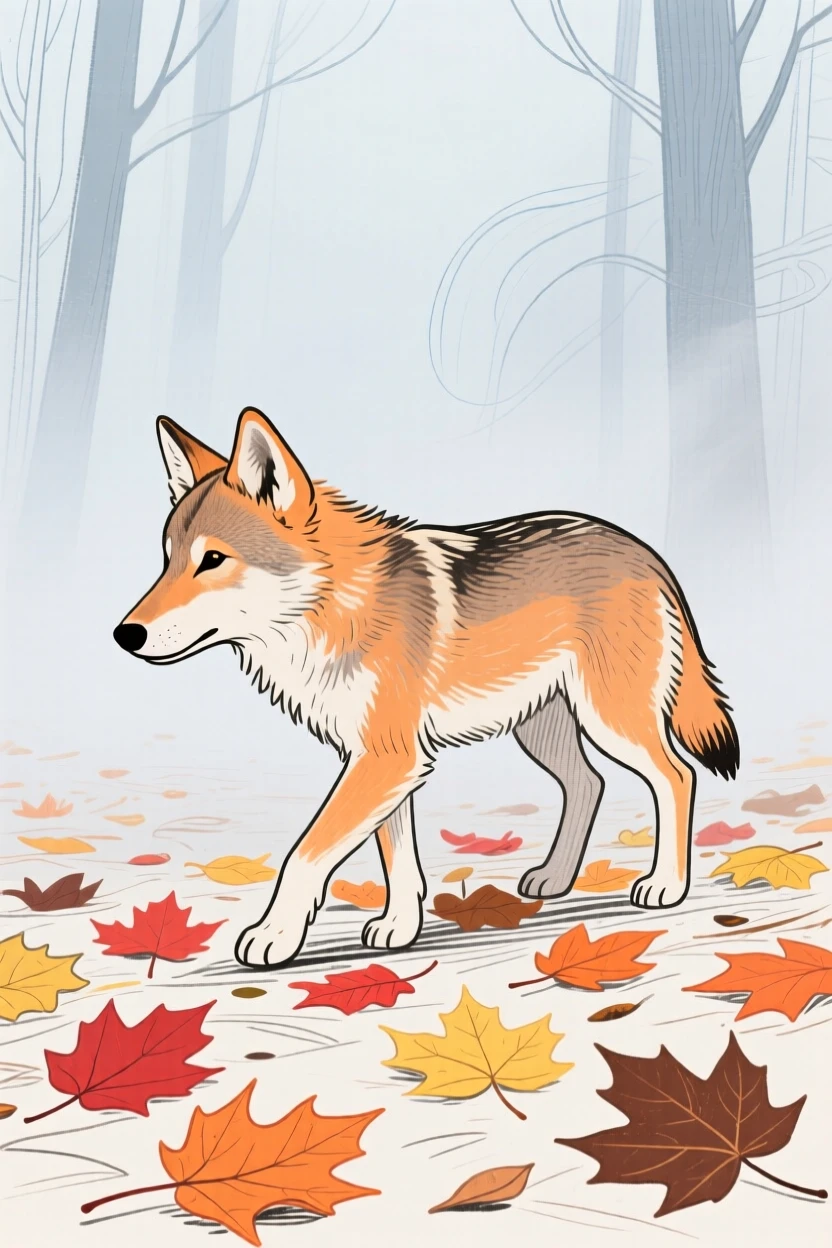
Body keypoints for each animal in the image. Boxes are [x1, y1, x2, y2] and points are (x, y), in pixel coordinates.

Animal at [115, 407, 739, 968]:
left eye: (213, 560)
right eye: (168, 561)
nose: (124, 634)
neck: (336, 609)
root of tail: (645, 552)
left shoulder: (386, 759)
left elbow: (304, 854)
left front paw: (275, 935)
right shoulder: (384, 759)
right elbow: (397, 858)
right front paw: (399, 927)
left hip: (611, 721)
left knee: (676, 776)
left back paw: (664, 884)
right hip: (543, 730)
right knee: (590, 783)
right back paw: (554, 878)